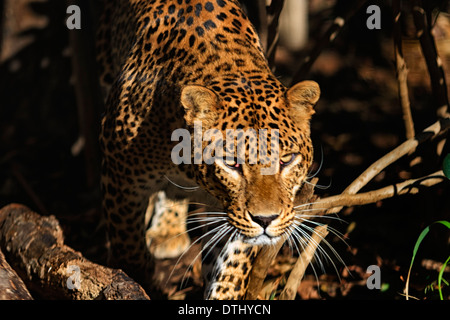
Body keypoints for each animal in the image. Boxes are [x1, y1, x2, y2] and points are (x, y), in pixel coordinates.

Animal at [96, 0, 320, 300]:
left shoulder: (232, 213)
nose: (266, 219)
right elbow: (129, 247)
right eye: (232, 163)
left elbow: (231, 267)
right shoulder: (120, 176)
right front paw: (138, 281)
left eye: (286, 160)